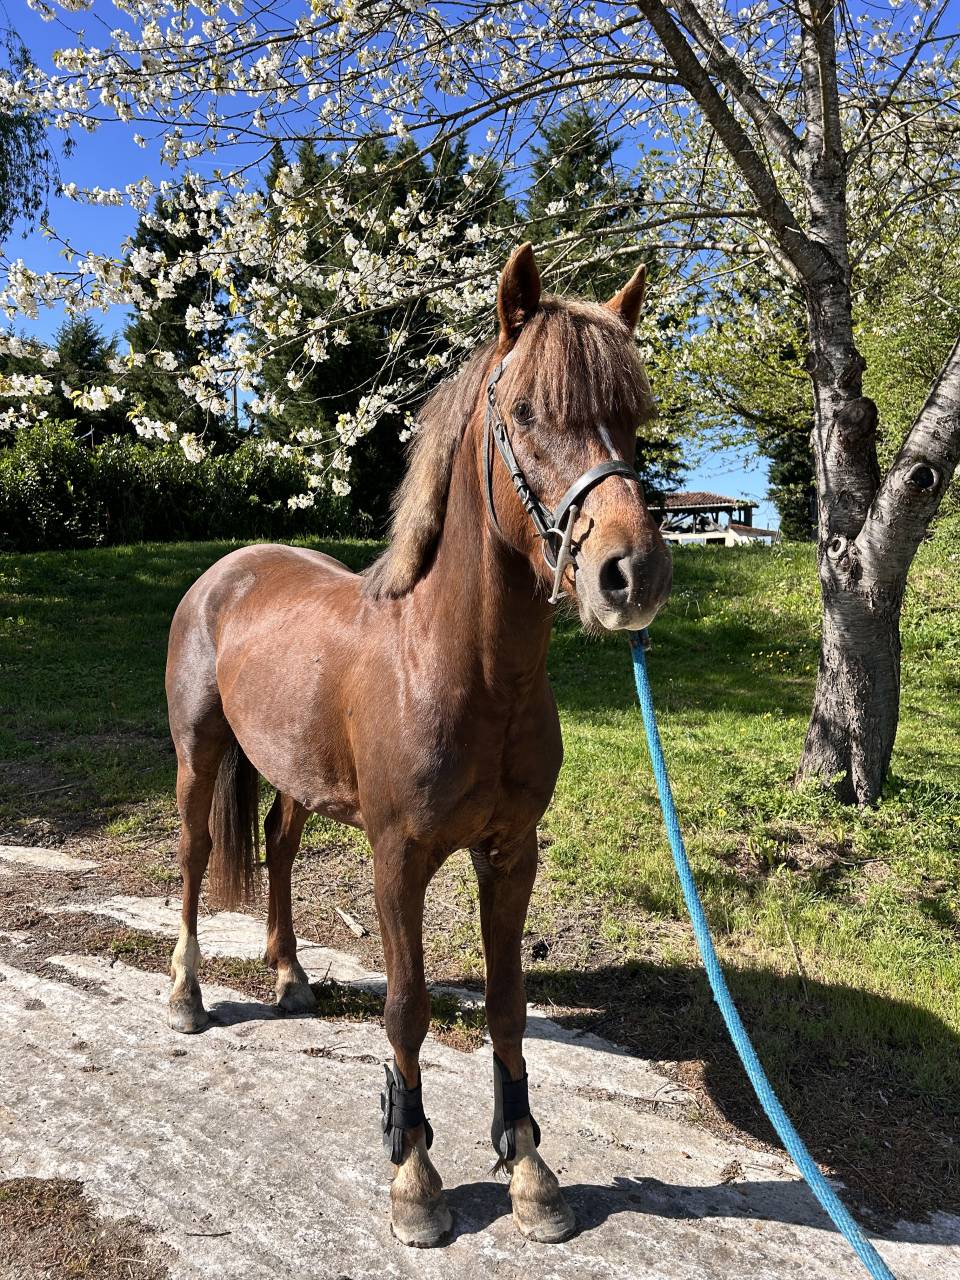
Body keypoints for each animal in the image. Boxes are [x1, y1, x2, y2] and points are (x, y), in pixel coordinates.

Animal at [164, 242, 672, 1248]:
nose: (629, 573)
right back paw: (188, 995)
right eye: (526, 413)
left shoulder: (510, 855)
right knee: (198, 856)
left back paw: (291, 977)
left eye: (635, 419)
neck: (459, 666)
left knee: (277, 848)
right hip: (199, 756)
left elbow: (510, 1005)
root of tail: (226, 569)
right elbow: (408, 1007)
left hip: (299, 778)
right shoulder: (398, 856)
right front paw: (413, 1172)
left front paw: (530, 1170)